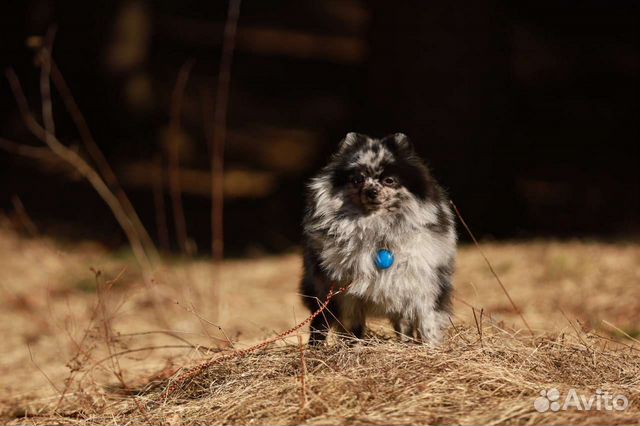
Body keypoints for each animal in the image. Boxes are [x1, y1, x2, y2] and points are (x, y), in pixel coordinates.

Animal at [300, 133, 456, 346]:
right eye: (358, 179)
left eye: (389, 180)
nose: (371, 191)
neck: (377, 231)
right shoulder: (347, 296)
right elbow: (353, 329)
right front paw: (354, 348)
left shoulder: (421, 287)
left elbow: (427, 324)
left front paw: (431, 348)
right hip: (321, 292)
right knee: (320, 324)